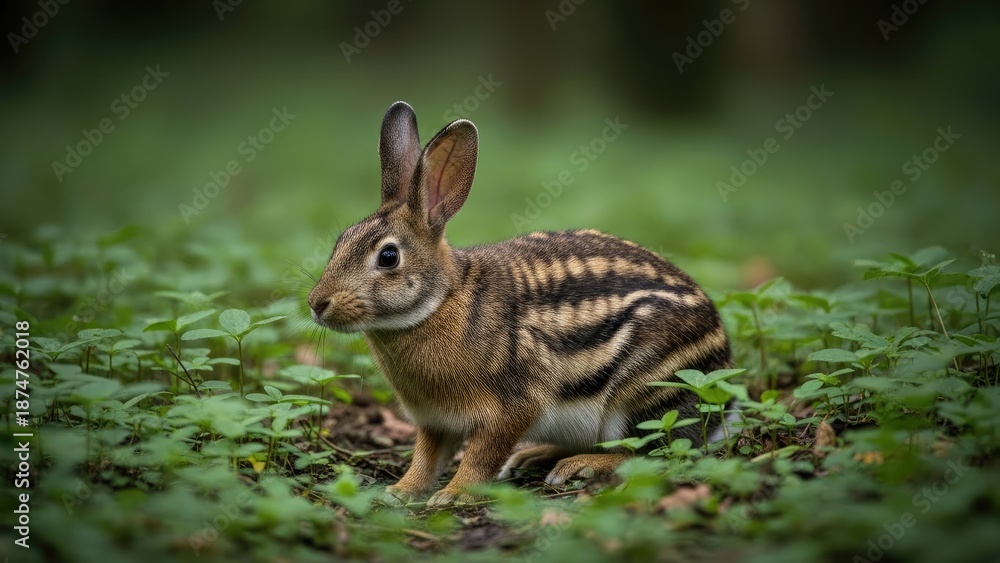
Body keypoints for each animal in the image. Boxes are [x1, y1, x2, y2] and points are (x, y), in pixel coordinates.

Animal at [307, 101, 733, 508]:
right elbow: (425, 457)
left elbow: (481, 455)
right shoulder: (435, 422)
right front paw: (401, 491)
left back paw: (578, 465)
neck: (441, 301)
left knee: (651, 450)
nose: (317, 304)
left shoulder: (511, 409)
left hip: (643, 388)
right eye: (341, 240)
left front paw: (454, 494)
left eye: (389, 257)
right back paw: (534, 457)